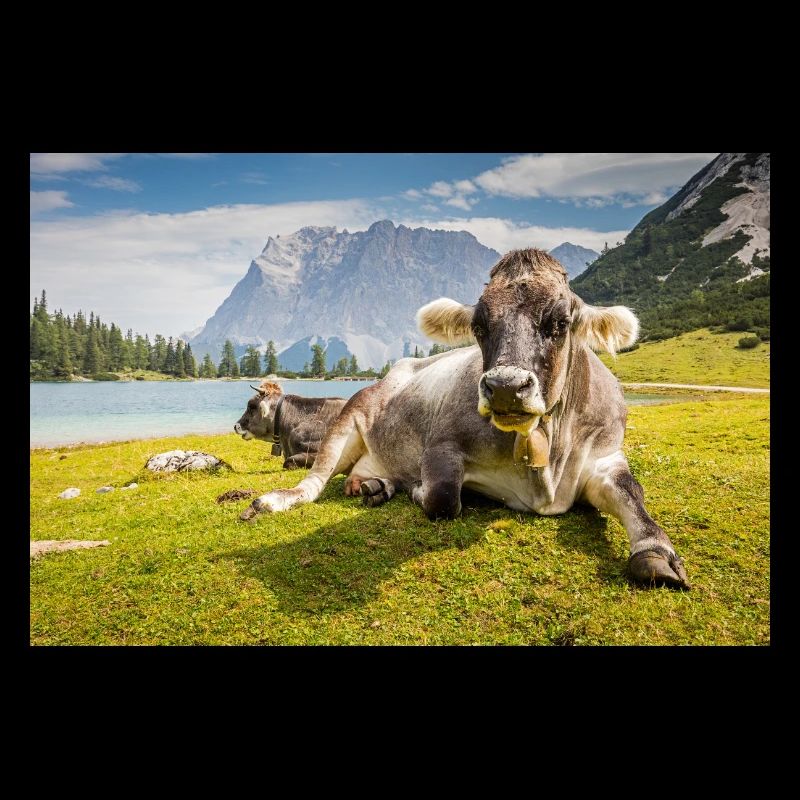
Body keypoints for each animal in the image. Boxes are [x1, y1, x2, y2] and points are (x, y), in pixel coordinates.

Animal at [239, 249, 690, 589]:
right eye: (478, 325)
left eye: (560, 322)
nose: (506, 386)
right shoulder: (441, 447)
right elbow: (442, 499)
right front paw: (418, 491)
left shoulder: (606, 456)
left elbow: (633, 494)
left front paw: (655, 551)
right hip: (350, 418)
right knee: (313, 483)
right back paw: (275, 500)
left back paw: (375, 486)